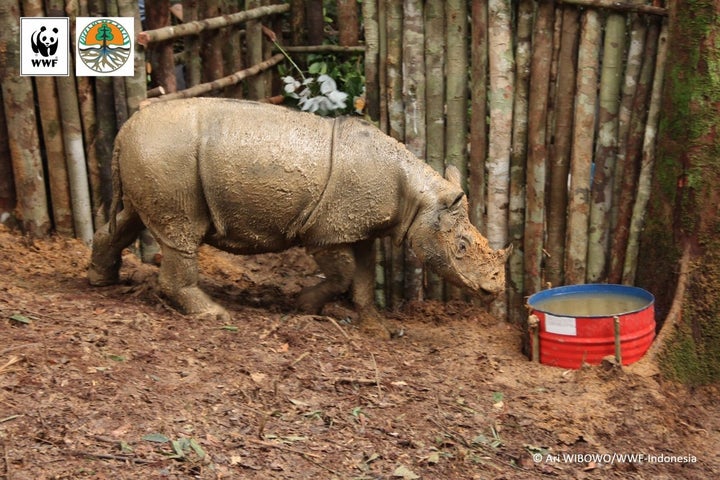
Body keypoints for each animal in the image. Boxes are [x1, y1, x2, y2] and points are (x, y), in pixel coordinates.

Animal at [87, 98, 510, 338]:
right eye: (461, 246)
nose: (496, 288)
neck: (420, 198)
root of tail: (124, 130)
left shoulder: (359, 228)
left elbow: (362, 277)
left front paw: (377, 328)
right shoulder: (325, 231)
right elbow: (343, 275)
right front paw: (304, 306)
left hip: (153, 156)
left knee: (128, 220)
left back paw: (100, 281)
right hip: (167, 155)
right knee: (181, 234)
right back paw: (214, 314)